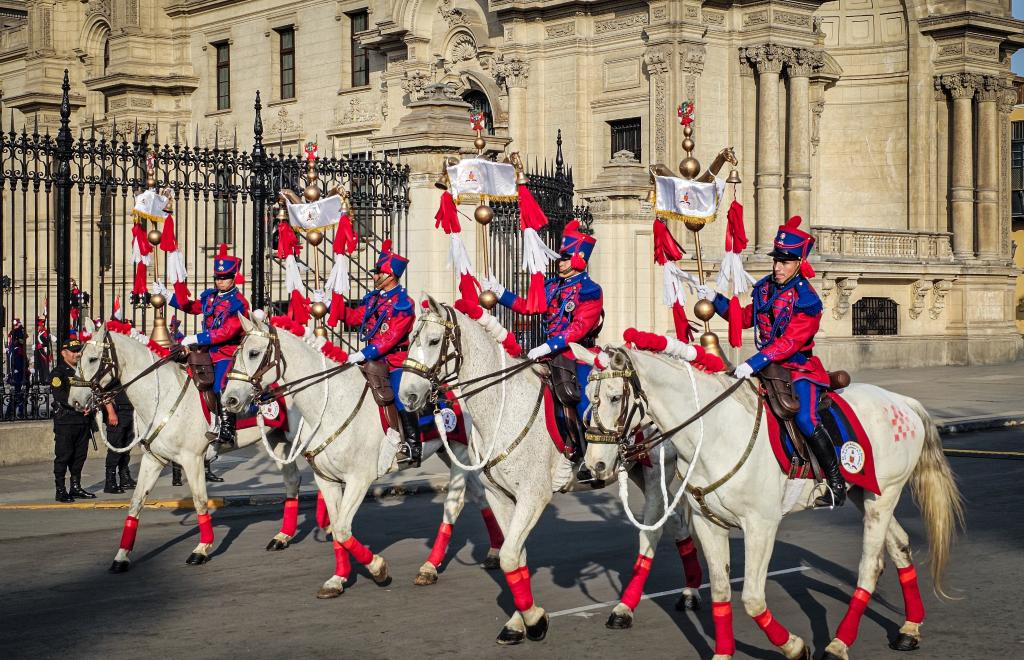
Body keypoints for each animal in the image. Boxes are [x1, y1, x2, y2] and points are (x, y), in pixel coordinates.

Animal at [68, 321, 303, 568]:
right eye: (78, 358)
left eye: (93, 359)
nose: (73, 400)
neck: (162, 395)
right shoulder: (153, 459)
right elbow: (136, 502)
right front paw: (122, 555)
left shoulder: (193, 459)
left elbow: (200, 501)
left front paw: (202, 548)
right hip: (278, 439)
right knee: (292, 481)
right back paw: (282, 537)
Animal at [224, 313, 507, 597]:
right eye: (236, 353)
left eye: (253, 353)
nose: (229, 400)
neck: (331, 404)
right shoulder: (326, 480)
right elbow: (338, 530)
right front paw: (338, 579)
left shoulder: (359, 479)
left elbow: (341, 528)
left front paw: (377, 568)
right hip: (449, 453)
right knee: (480, 494)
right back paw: (495, 550)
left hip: (459, 450)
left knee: (454, 504)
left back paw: (430, 567)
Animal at [399, 296, 704, 642]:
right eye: (409, 340)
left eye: (433, 340)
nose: (407, 395)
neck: (503, 407)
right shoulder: (500, 497)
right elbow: (515, 556)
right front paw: (518, 621)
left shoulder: (534, 496)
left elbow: (509, 556)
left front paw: (534, 620)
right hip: (642, 472)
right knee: (676, 521)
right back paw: (691, 591)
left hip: (655, 474)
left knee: (652, 532)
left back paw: (624, 609)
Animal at [573, 341, 962, 654]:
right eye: (587, 400)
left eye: (614, 397)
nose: (594, 465)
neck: (714, 431)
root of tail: (902, 401)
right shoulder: (707, 523)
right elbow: (720, 592)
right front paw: (723, 653)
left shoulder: (761, 526)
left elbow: (752, 598)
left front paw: (795, 647)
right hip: (866, 493)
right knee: (899, 547)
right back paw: (909, 628)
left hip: (882, 498)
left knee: (870, 566)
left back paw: (838, 644)